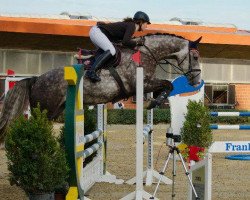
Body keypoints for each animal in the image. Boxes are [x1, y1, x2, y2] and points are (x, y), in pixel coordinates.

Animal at [0, 33, 201, 142]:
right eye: (196, 57)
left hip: (55, 110)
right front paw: (153, 102)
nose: (196, 81)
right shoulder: (140, 83)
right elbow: (167, 84)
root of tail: (36, 79)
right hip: (45, 110)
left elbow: (166, 86)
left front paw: (154, 101)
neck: (146, 53)